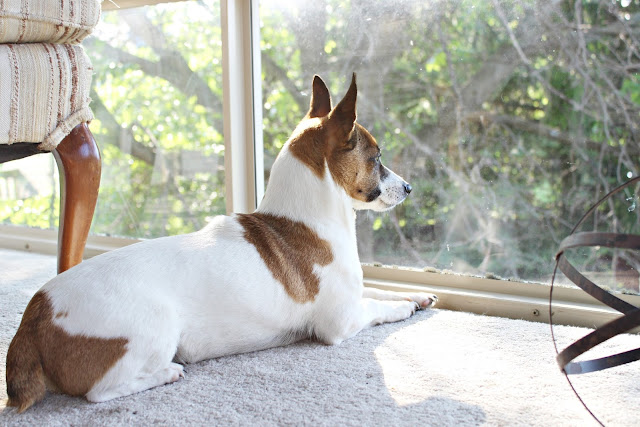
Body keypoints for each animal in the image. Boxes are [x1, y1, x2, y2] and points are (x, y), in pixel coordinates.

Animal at [5, 74, 437, 412]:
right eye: (377, 157)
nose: (409, 188)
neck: (305, 220)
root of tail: (35, 317)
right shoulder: (341, 321)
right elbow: (379, 307)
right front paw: (404, 308)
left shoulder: (354, 292)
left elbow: (380, 290)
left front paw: (417, 295)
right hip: (156, 330)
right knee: (101, 392)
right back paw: (166, 373)